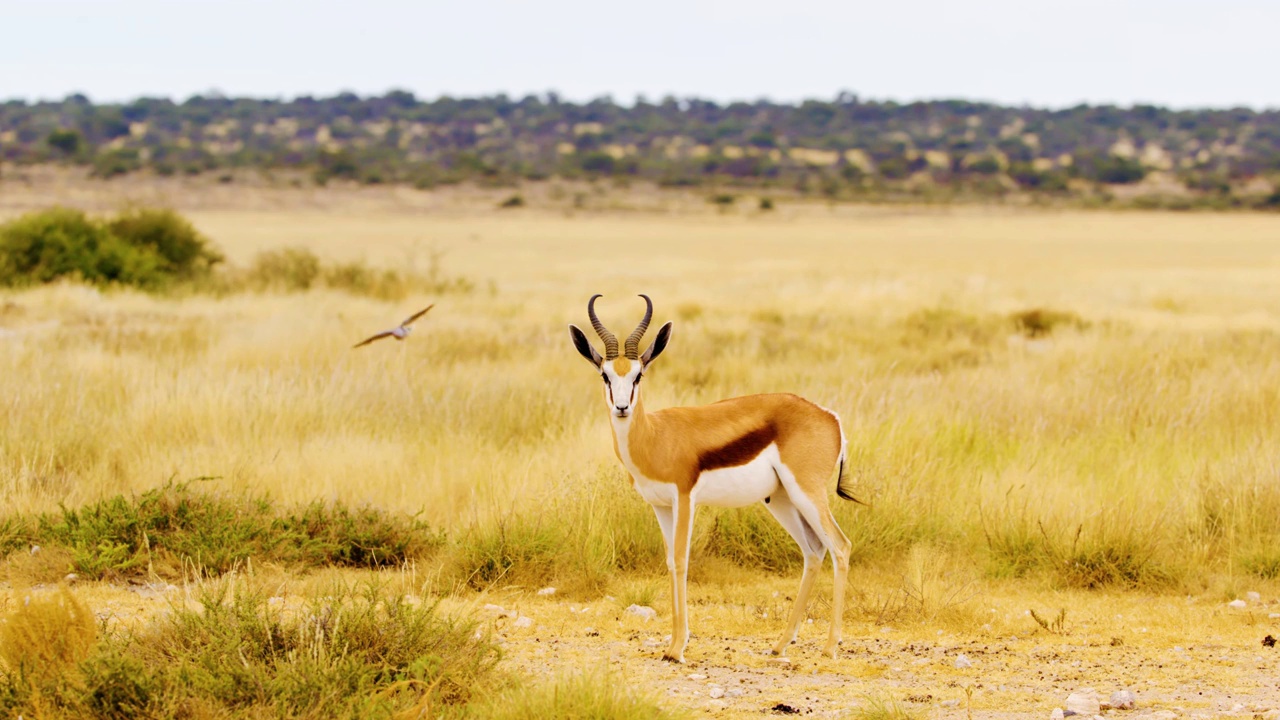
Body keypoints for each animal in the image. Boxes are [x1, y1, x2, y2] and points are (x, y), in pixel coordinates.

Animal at [565, 294, 855, 661]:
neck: (655, 437)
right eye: (604, 375)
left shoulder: (685, 499)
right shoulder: (660, 506)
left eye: (638, 375)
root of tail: (830, 417)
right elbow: (670, 562)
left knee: (840, 546)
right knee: (814, 550)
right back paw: (780, 644)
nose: (621, 408)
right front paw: (672, 644)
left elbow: (681, 560)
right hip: (782, 499)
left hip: (808, 492)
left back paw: (830, 646)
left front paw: (677, 649)